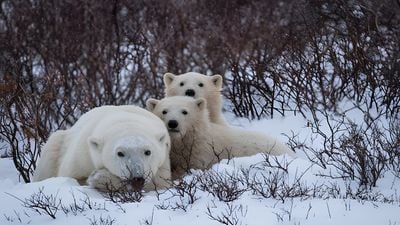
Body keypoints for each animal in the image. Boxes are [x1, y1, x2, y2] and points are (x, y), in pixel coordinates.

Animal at [33, 105, 171, 192]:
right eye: (120, 153)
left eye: (148, 152)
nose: (137, 178)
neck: (124, 119)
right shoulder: (82, 156)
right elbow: (73, 178)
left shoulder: (163, 161)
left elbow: (159, 183)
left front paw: (99, 177)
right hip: (57, 144)